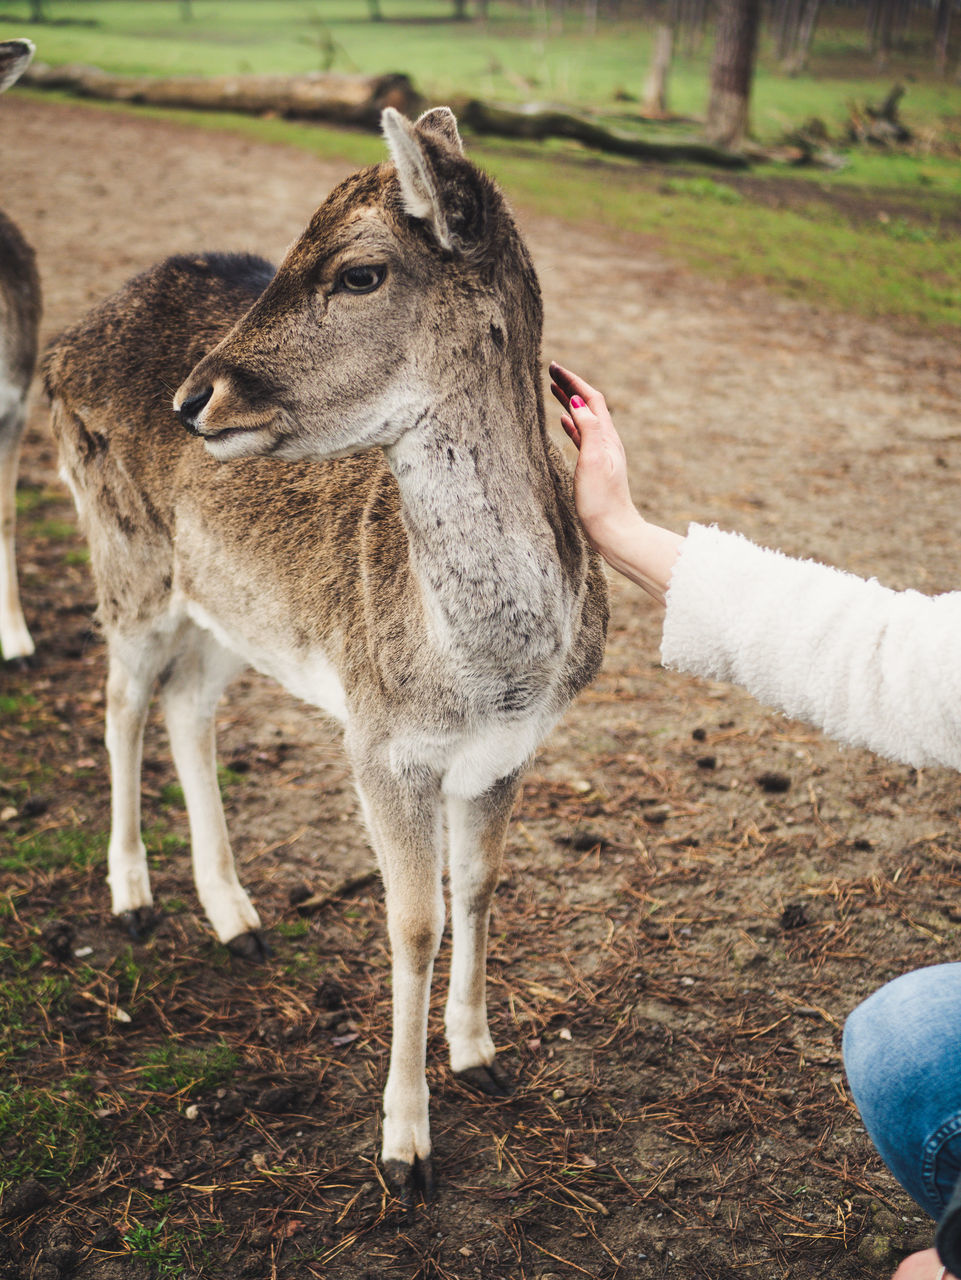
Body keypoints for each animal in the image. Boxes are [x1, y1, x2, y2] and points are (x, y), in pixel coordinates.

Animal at [45, 107, 609, 1198]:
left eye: (358, 272)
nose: (194, 398)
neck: (488, 674)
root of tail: (57, 346)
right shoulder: (378, 742)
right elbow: (412, 920)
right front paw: (405, 1145)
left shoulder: (511, 752)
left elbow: (480, 886)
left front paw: (480, 1055)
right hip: (125, 555)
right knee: (120, 700)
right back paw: (132, 898)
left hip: (231, 610)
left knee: (186, 706)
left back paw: (236, 914)